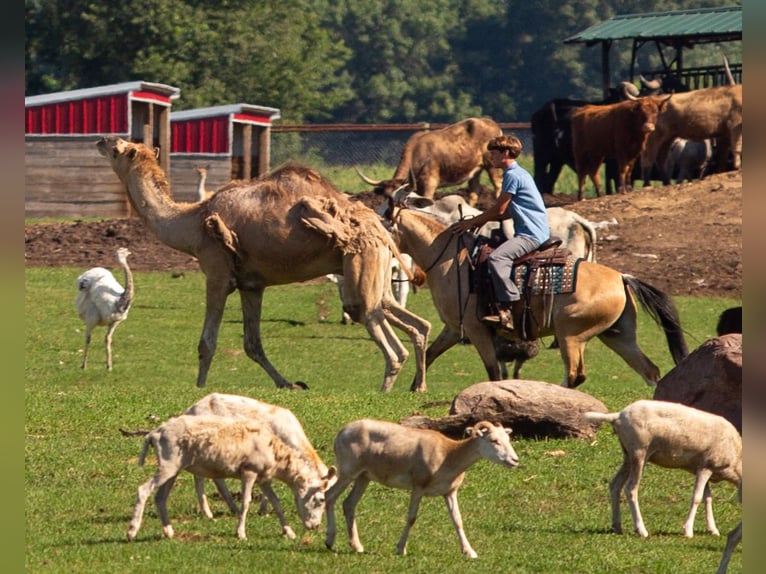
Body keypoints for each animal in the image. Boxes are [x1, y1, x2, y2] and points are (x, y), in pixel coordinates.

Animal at [382, 192, 688, 390]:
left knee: (575, 374)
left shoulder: (477, 330)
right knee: (650, 371)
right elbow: (432, 352)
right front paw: (415, 386)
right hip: (618, 336)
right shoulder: (455, 328)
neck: (452, 260)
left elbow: (494, 373)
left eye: (382, 220)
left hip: (571, 334)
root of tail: (621, 277)